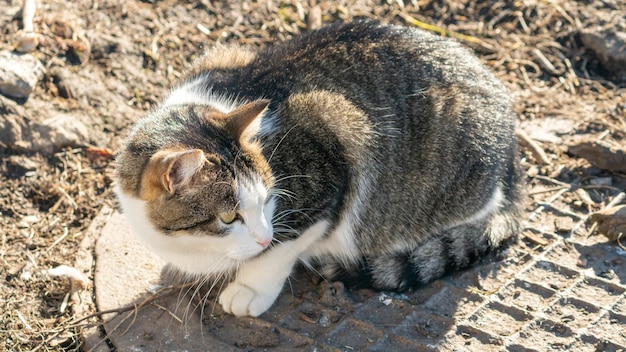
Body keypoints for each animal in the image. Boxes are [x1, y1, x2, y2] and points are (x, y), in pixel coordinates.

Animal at [114, 20, 520, 318]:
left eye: (268, 199)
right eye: (229, 217)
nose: (263, 237)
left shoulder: (331, 161)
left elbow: (285, 244)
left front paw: (250, 287)